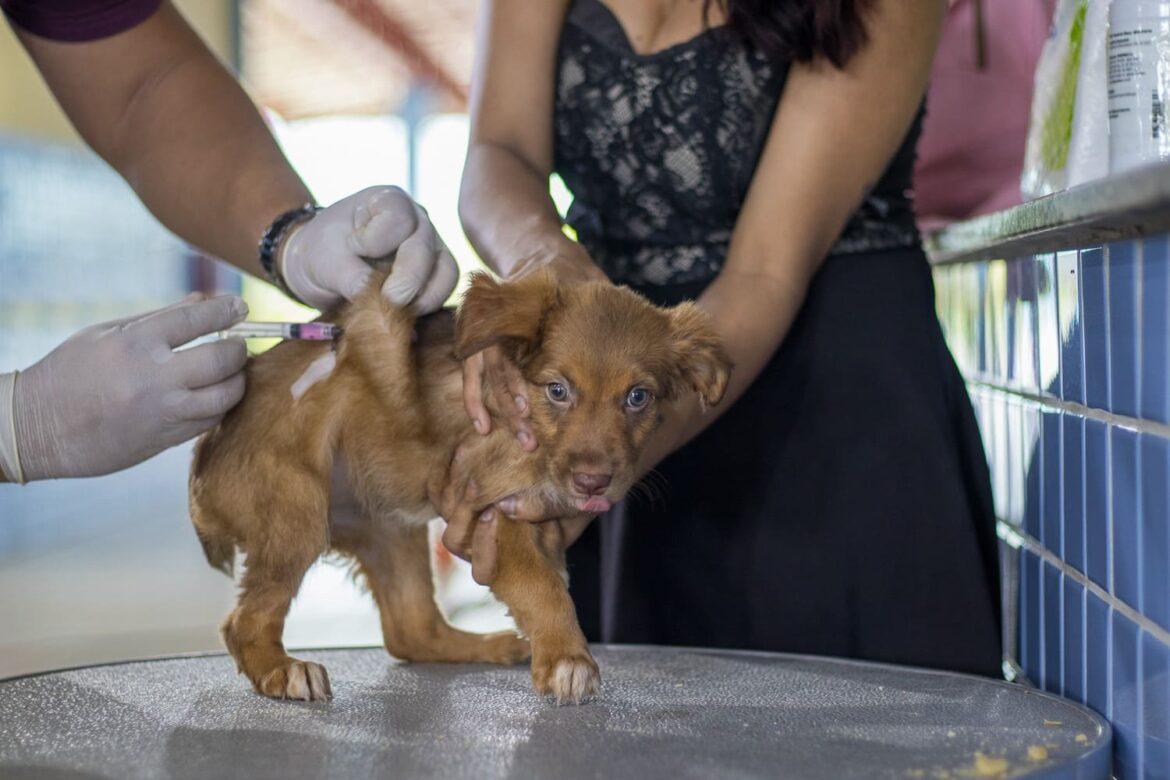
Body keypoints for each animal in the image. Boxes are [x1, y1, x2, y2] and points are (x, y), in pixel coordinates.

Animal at [187, 270, 725, 706]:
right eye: (558, 391)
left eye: (638, 397)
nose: (592, 481)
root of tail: (207, 448)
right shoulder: (494, 507)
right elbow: (543, 586)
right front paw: (567, 658)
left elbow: (549, 575)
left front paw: (552, 645)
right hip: (297, 508)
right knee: (242, 623)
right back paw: (281, 670)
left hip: (389, 527)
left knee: (412, 633)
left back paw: (486, 645)